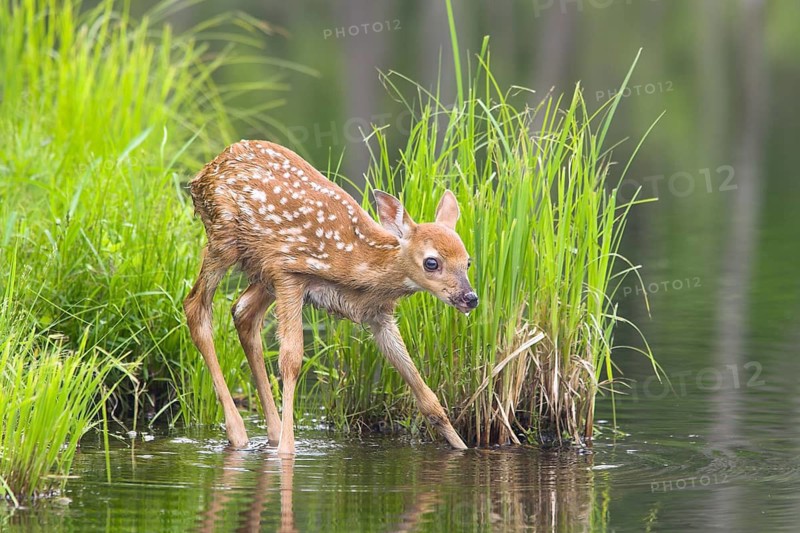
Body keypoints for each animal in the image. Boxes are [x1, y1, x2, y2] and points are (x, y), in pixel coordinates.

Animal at [183, 140, 478, 455]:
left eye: (468, 261)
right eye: (431, 262)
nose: (470, 297)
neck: (355, 264)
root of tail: (203, 173)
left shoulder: (378, 314)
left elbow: (423, 390)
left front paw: (461, 446)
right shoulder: (289, 273)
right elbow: (291, 359)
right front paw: (288, 450)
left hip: (261, 272)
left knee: (242, 312)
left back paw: (270, 434)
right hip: (224, 238)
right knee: (196, 307)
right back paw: (239, 434)